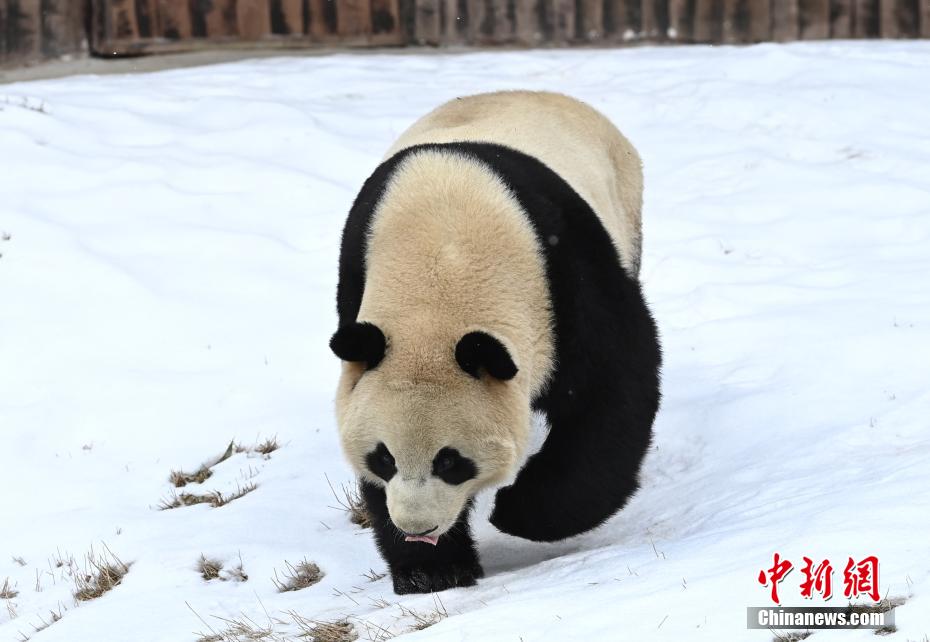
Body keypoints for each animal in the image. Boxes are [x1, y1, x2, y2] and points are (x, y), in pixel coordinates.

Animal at [330, 87, 656, 592]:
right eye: (384, 458)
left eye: (450, 461)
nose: (418, 528)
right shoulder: (357, 292)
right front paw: (432, 570)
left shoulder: (566, 277)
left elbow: (613, 389)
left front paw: (519, 512)